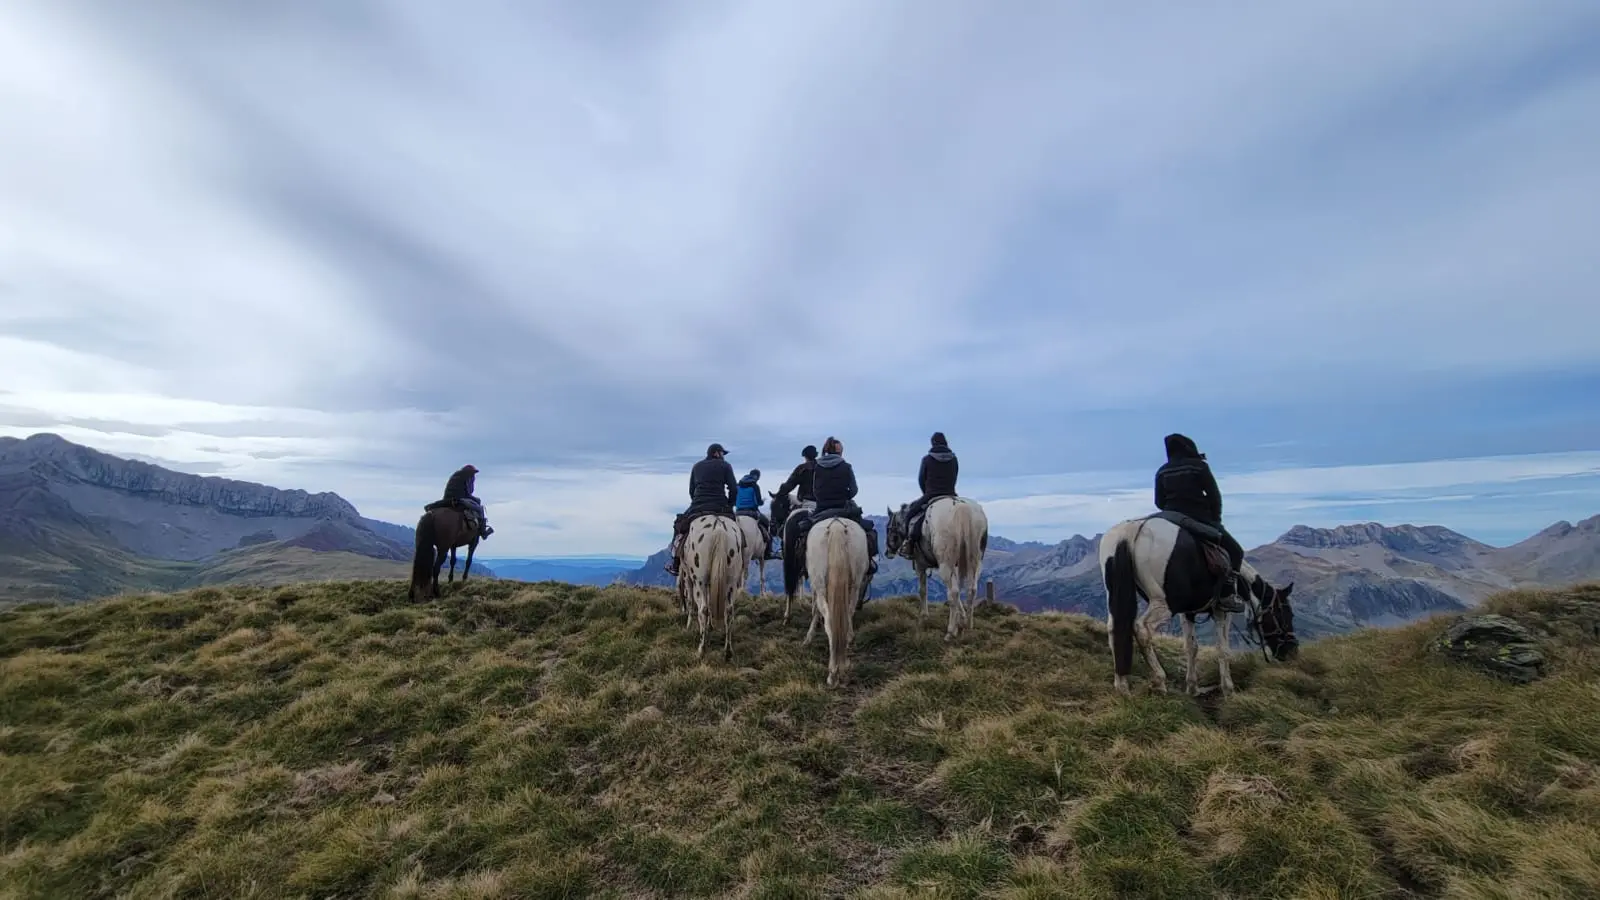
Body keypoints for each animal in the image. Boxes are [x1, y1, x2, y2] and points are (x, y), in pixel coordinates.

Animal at [678, 512, 745, 659]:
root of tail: (719, 527)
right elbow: (710, 602)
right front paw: (710, 626)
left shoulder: (688, 578)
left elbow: (691, 602)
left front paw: (688, 625)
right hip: (731, 582)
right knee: (729, 611)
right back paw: (728, 651)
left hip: (699, 581)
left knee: (703, 609)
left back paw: (701, 649)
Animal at [800, 515, 876, 682]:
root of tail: (837, 526)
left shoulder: (816, 587)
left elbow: (815, 610)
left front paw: (808, 637)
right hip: (854, 584)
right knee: (847, 614)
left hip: (820, 584)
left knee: (829, 619)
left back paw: (833, 672)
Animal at [889, 496, 985, 637]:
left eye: (888, 528)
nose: (887, 552)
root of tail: (962, 508)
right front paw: (962, 618)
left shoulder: (920, 565)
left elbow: (923, 590)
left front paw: (924, 616)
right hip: (975, 562)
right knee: (971, 589)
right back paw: (968, 626)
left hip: (945, 565)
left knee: (953, 592)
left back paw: (951, 631)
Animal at [1100, 512, 1299, 695]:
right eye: (1286, 614)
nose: (1291, 652)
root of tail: (1132, 530)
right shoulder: (1222, 611)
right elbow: (1222, 649)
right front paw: (1228, 689)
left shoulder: (1187, 612)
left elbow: (1191, 647)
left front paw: (1193, 688)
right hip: (1164, 603)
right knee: (1142, 628)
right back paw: (1159, 680)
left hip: (1116, 596)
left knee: (1115, 627)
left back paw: (1122, 685)